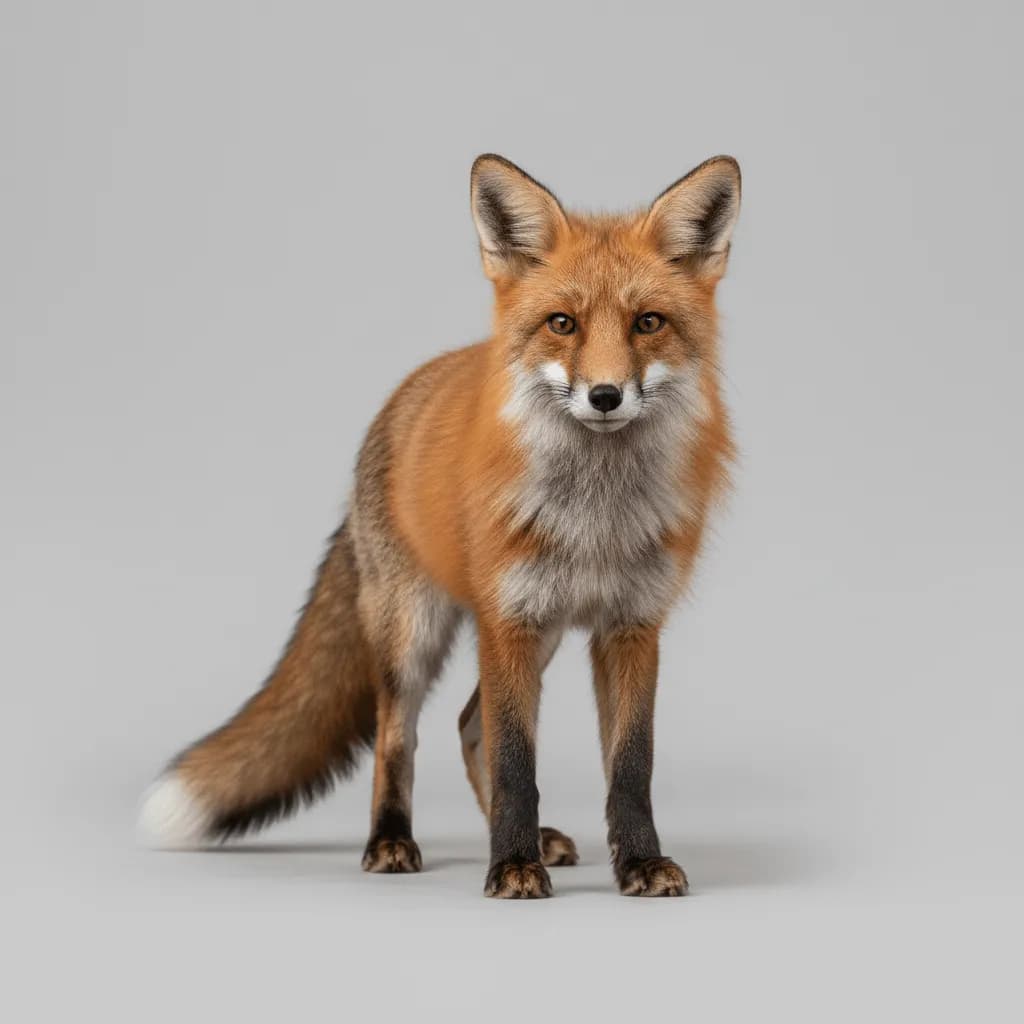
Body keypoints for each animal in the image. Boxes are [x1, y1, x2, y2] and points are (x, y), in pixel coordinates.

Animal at [140, 153, 741, 898]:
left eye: (648, 322)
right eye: (563, 323)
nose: (605, 396)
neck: (592, 517)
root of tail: (404, 396)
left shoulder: (630, 626)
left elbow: (630, 768)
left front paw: (637, 862)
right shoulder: (507, 621)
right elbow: (517, 764)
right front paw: (511, 866)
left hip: (528, 632)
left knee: (466, 725)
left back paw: (528, 839)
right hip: (415, 632)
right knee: (399, 736)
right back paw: (392, 840)